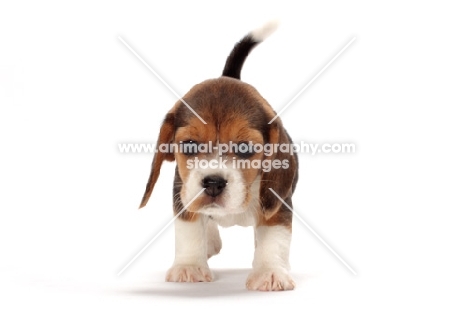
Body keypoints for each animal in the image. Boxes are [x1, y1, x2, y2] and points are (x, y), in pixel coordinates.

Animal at [139, 22, 298, 292]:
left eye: (244, 148)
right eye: (189, 146)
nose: (213, 183)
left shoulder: (278, 203)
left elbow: (273, 237)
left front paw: (270, 272)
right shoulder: (183, 192)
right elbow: (189, 228)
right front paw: (189, 266)